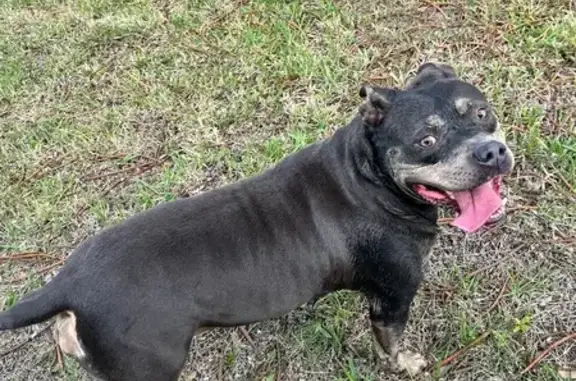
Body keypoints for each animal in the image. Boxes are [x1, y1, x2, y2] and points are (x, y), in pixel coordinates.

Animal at [0, 63, 512, 378]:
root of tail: (69, 283)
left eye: (482, 111)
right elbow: (393, 344)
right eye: (426, 140)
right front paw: (406, 364)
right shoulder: (392, 298)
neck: (371, 177)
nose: (491, 152)